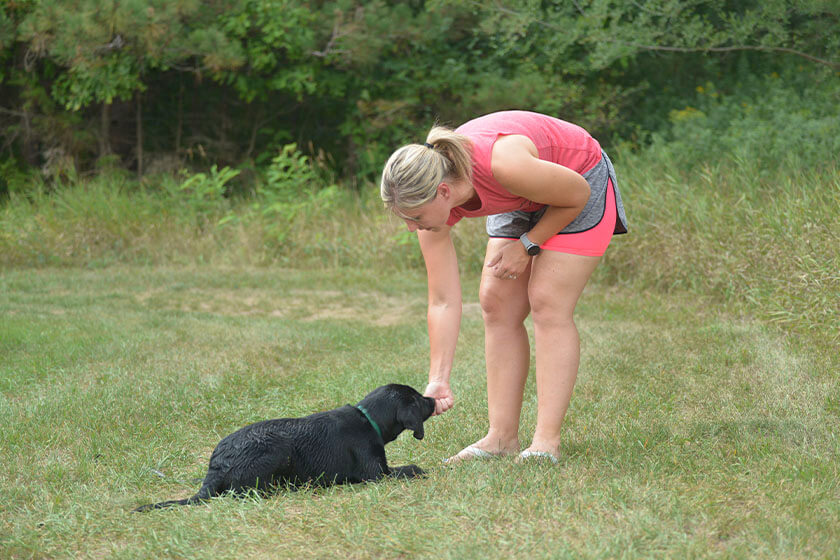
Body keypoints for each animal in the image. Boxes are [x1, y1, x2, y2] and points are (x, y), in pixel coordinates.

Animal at [135, 384, 436, 512]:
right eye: (419, 399)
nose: (433, 399)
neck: (368, 418)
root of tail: (217, 467)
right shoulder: (377, 474)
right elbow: (411, 468)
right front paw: (424, 469)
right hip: (278, 449)